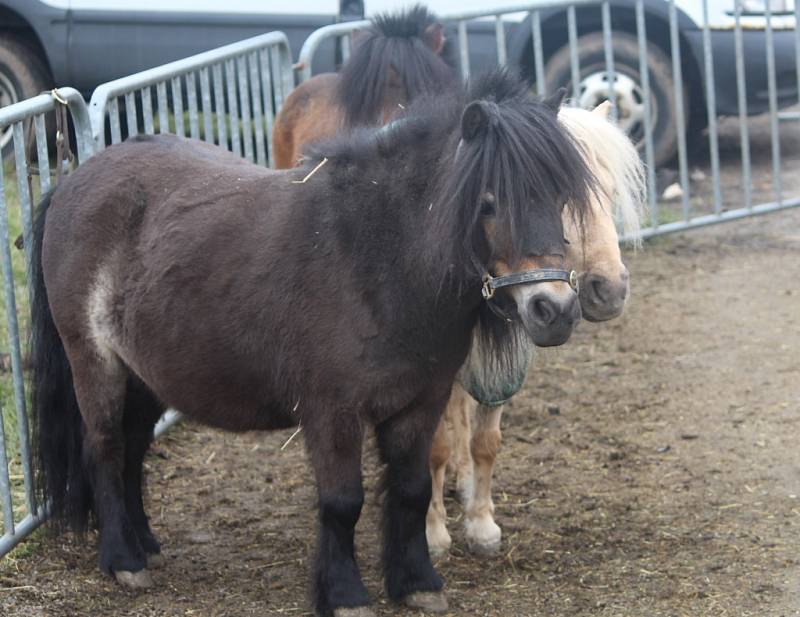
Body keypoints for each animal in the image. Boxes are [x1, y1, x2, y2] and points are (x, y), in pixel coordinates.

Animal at [31, 68, 592, 616]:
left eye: (560, 197)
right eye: (489, 202)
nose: (555, 310)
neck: (377, 260)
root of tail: (73, 182)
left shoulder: (421, 402)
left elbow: (411, 490)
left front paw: (416, 582)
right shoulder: (332, 412)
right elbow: (342, 502)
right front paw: (345, 595)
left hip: (145, 375)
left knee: (133, 449)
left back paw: (144, 543)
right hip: (96, 363)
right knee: (104, 447)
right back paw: (123, 559)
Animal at [424, 100, 644, 552]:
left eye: (610, 193)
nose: (611, 289)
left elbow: (485, 441)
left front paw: (481, 523)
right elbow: (433, 447)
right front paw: (433, 532)